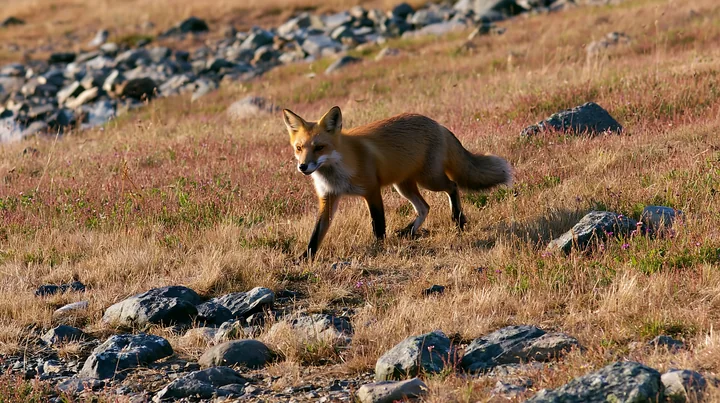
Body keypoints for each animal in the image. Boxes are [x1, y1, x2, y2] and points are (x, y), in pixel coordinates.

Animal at [282, 106, 512, 260]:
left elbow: (378, 225)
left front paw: (378, 249)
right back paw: (410, 231)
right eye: (299, 148)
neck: (337, 168)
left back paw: (457, 219)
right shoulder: (328, 197)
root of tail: (438, 124)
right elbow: (316, 234)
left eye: (319, 147)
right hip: (403, 186)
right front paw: (305, 258)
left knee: (453, 187)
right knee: (425, 207)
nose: (303, 167)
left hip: (429, 179)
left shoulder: (372, 190)